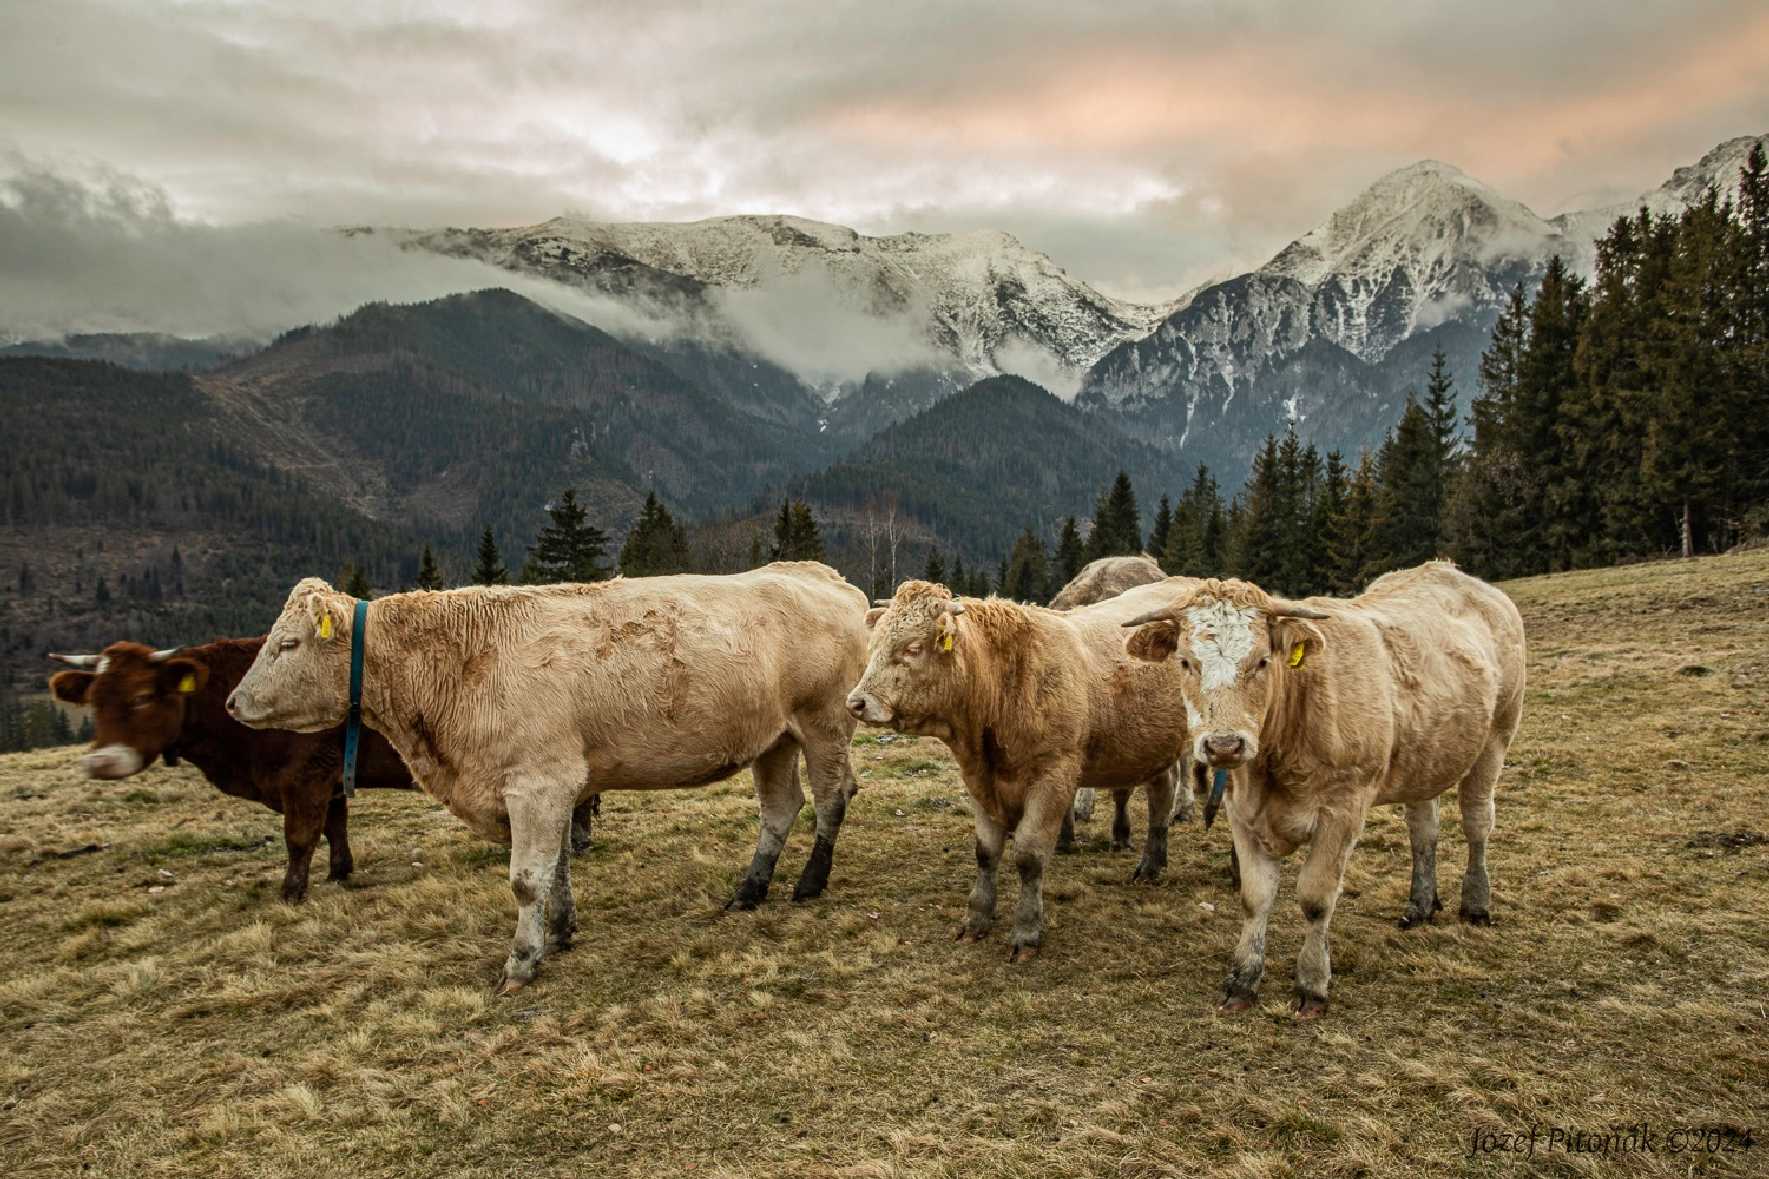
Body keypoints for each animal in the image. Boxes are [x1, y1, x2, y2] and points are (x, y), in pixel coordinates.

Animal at [44, 637, 608, 895]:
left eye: (142, 697)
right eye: (93, 701)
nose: (101, 763)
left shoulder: (303, 776)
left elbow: (299, 836)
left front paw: (292, 891)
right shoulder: (330, 777)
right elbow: (335, 827)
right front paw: (340, 871)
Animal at [221, 566, 870, 984]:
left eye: (287, 643)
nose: (231, 702)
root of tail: (819, 575)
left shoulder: (537, 784)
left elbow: (527, 879)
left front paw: (522, 960)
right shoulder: (554, 790)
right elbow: (557, 869)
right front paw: (561, 931)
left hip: (825, 722)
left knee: (832, 798)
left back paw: (810, 882)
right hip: (774, 738)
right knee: (780, 808)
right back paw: (750, 890)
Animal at [842, 577, 1188, 955]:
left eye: (913, 648)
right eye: (874, 644)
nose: (856, 703)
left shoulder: (1053, 777)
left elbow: (1029, 856)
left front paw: (1026, 929)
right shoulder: (979, 780)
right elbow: (986, 852)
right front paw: (977, 918)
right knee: (1161, 794)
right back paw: (1154, 861)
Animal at [1125, 559, 1528, 1012]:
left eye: (1263, 661)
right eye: (1185, 662)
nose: (1224, 744)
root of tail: (1451, 571)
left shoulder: (1344, 810)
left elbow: (1316, 899)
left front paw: (1312, 983)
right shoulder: (1242, 812)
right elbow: (1255, 897)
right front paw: (1243, 979)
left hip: (1497, 736)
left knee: (1477, 821)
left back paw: (1476, 903)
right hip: (1426, 756)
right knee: (1424, 829)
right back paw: (1420, 904)